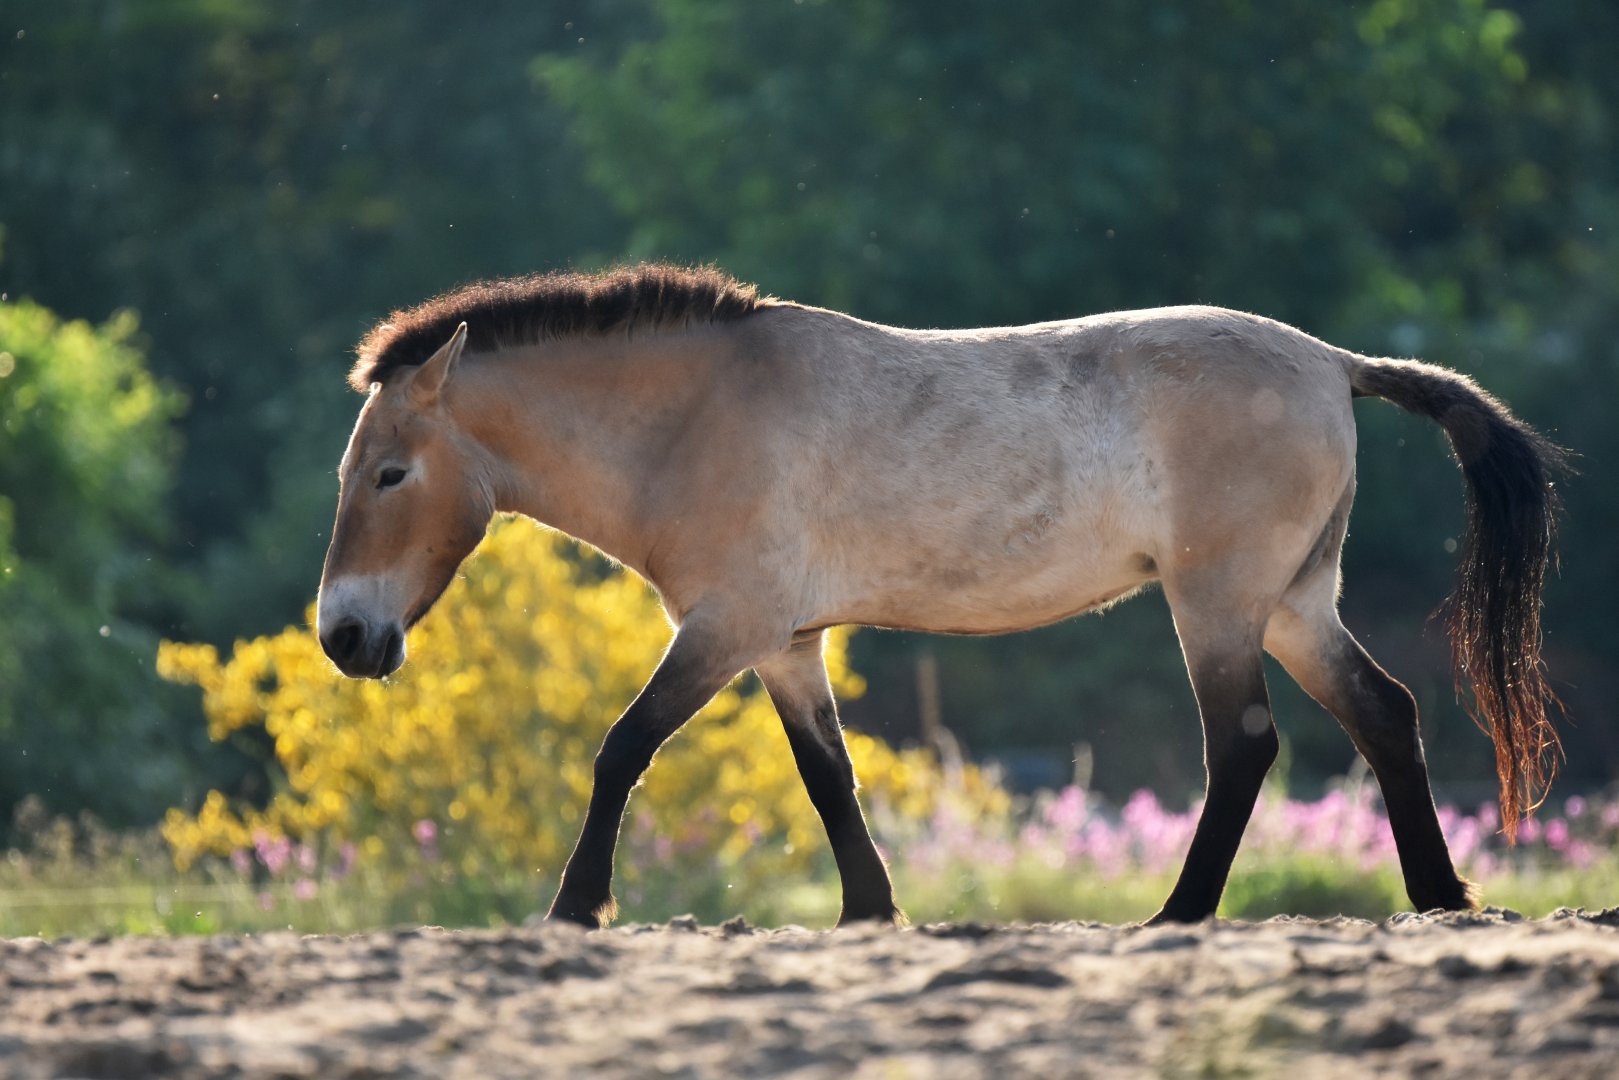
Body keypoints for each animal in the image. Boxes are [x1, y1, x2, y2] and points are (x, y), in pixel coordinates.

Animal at [316, 263, 1565, 927]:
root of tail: (1332, 363)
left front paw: (576, 907)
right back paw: (1438, 895)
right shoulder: (784, 643)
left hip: (1218, 606)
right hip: (1292, 605)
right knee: (1383, 714)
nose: (343, 634)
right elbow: (828, 777)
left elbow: (621, 748)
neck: (692, 420)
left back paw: (1180, 912)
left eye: (387, 474)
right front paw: (872, 910)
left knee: (1245, 745)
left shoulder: (722, 630)